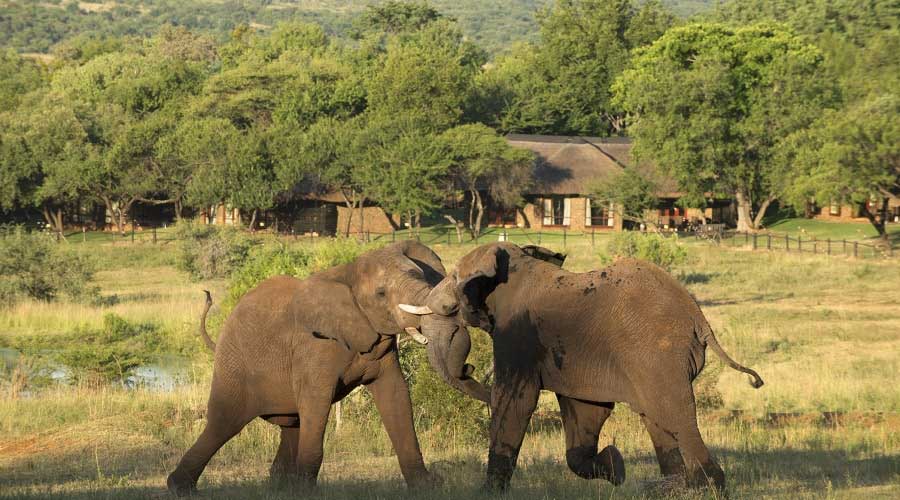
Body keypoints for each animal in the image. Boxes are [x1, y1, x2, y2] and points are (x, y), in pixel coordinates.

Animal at [162, 240, 486, 494]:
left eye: (420, 275)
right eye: (381, 294)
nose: (469, 368)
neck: (347, 272)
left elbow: (395, 395)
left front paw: (426, 487)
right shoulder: (314, 346)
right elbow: (317, 400)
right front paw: (307, 492)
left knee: (291, 422)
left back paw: (280, 488)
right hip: (234, 365)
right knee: (224, 423)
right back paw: (180, 488)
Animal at [404, 242, 764, 492]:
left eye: (454, 279)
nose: (469, 368)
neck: (514, 266)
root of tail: (698, 317)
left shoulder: (517, 334)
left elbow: (514, 401)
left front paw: (488, 493)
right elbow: (585, 410)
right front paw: (616, 467)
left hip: (658, 354)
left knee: (675, 414)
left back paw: (707, 488)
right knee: (657, 417)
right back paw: (668, 489)